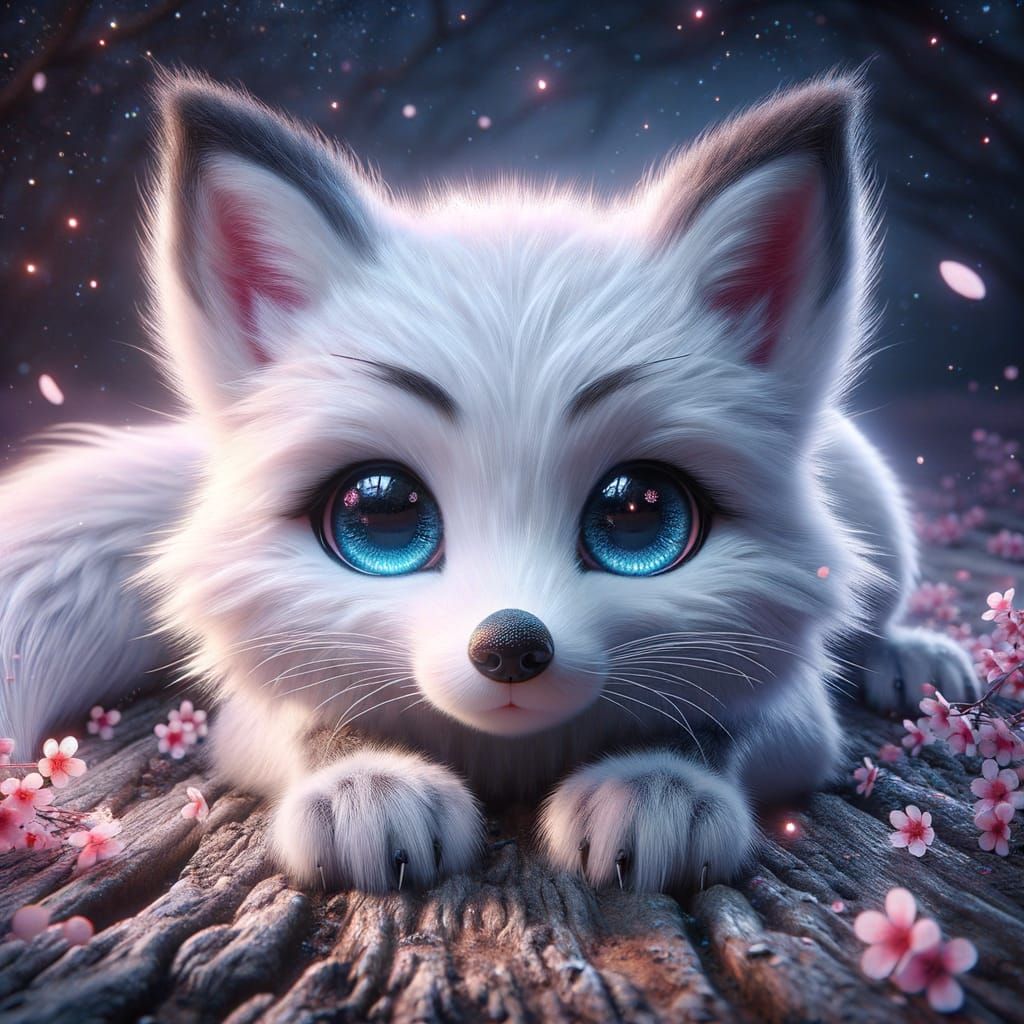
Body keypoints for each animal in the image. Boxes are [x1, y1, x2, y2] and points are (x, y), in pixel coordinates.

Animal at [0, 71, 979, 893]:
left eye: (640, 514)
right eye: (382, 514)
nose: (511, 645)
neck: (513, 756)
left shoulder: (798, 709)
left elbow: (720, 725)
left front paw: (657, 792)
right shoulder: (246, 714)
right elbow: (311, 728)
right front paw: (367, 791)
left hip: (877, 508)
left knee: (877, 611)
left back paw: (912, 658)